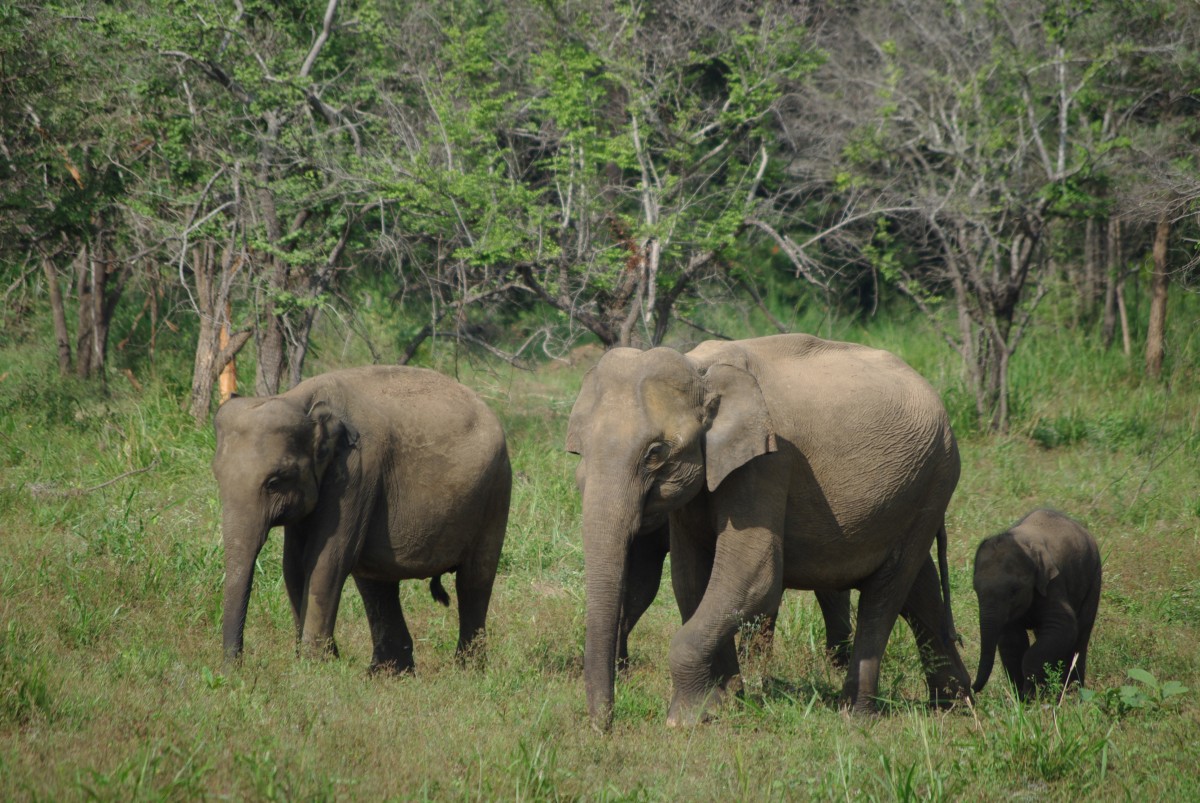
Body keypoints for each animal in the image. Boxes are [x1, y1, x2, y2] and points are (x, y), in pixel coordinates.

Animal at [212, 367, 511, 672]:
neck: (300, 400)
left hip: (496, 491)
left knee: (474, 579)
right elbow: (293, 566)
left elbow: (326, 562)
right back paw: (388, 674)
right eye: (217, 477)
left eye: (274, 482)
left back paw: (467, 670)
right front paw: (319, 661)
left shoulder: (356, 473)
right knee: (377, 584)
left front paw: (315, 667)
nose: (233, 669)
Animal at [566, 331, 969, 724]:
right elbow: (690, 578)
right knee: (918, 584)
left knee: (886, 591)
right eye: (579, 450)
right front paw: (725, 704)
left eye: (656, 452)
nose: (604, 725)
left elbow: (753, 573)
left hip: (936, 477)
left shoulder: (768, 462)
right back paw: (955, 705)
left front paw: (686, 718)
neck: (701, 366)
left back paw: (856, 716)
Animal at [969, 511, 1099, 696]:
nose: (970, 688)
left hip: (1094, 577)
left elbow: (1063, 627)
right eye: (975, 588)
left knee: (1081, 635)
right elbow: (1012, 642)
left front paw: (1031, 696)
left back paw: (1072, 691)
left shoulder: (1052, 583)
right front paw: (1022, 697)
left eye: (1014, 591)